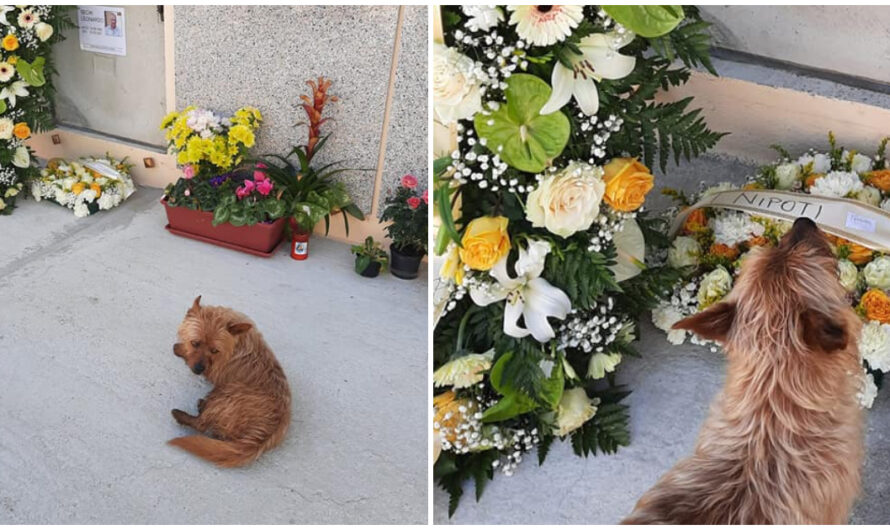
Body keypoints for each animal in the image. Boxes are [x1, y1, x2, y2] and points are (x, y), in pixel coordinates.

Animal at [168, 296, 290, 466]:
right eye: (195, 343)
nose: (198, 370)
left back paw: (182, 414)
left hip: (227, 392)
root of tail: (264, 434)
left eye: (214, 350)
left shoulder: (213, 371)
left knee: (201, 425)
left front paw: (179, 349)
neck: (236, 344)